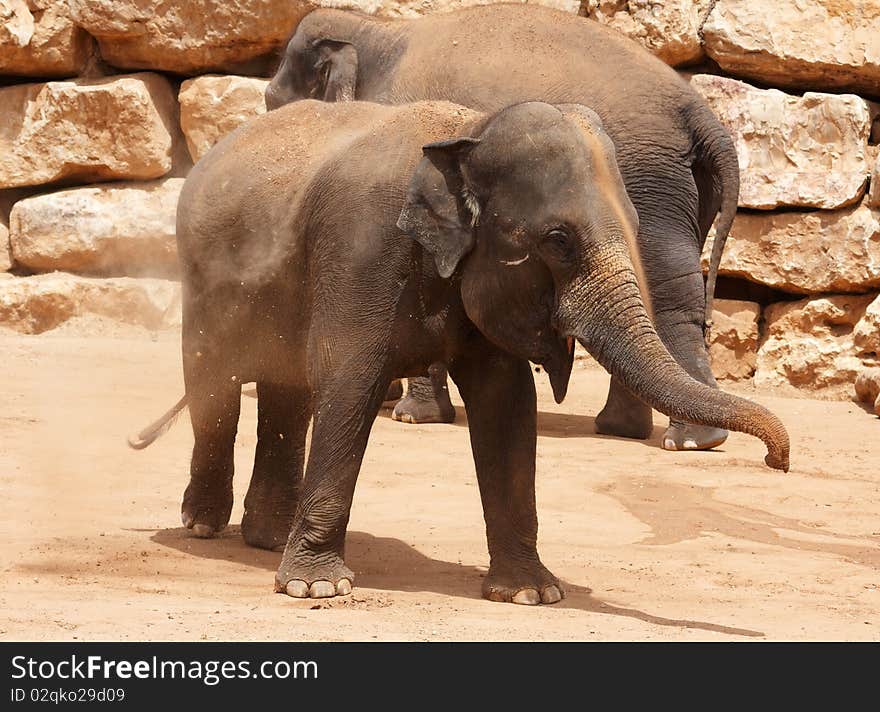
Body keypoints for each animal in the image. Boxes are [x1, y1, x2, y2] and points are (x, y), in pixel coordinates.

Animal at [136, 97, 792, 604]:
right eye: (558, 240)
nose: (778, 462)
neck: (467, 132)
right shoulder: (360, 256)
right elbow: (349, 385)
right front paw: (317, 589)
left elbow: (507, 404)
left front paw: (531, 593)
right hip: (202, 275)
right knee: (214, 384)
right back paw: (202, 526)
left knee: (284, 390)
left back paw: (267, 537)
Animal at [264, 4, 740, 450]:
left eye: (272, 101)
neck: (374, 27)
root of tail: (700, 114)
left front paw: (413, 415)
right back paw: (626, 429)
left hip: (652, 184)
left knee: (667, 293)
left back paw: (689, 440)